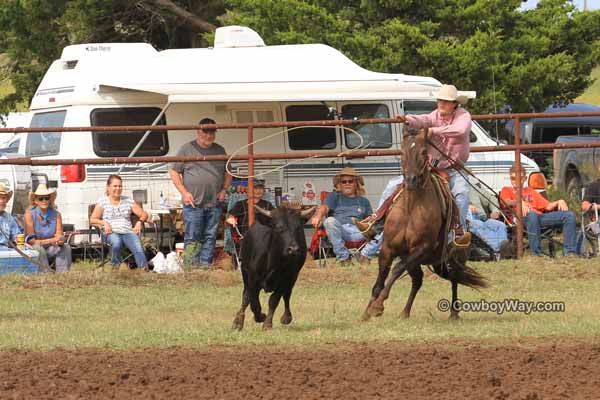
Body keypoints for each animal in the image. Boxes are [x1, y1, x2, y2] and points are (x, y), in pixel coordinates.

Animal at [360, 130, 488, 320]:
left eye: (423, 151)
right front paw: (367, 312)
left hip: (455, 257)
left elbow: (396, 269)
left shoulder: (422, 248)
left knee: (454, 278)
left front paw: (378, 306)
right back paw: (405, 312)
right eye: (402, 151)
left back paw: (454, 312)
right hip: (431, 261)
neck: (411, 208)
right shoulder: (388, 248)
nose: (411, 180)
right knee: (418, 280)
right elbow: (380, 280)